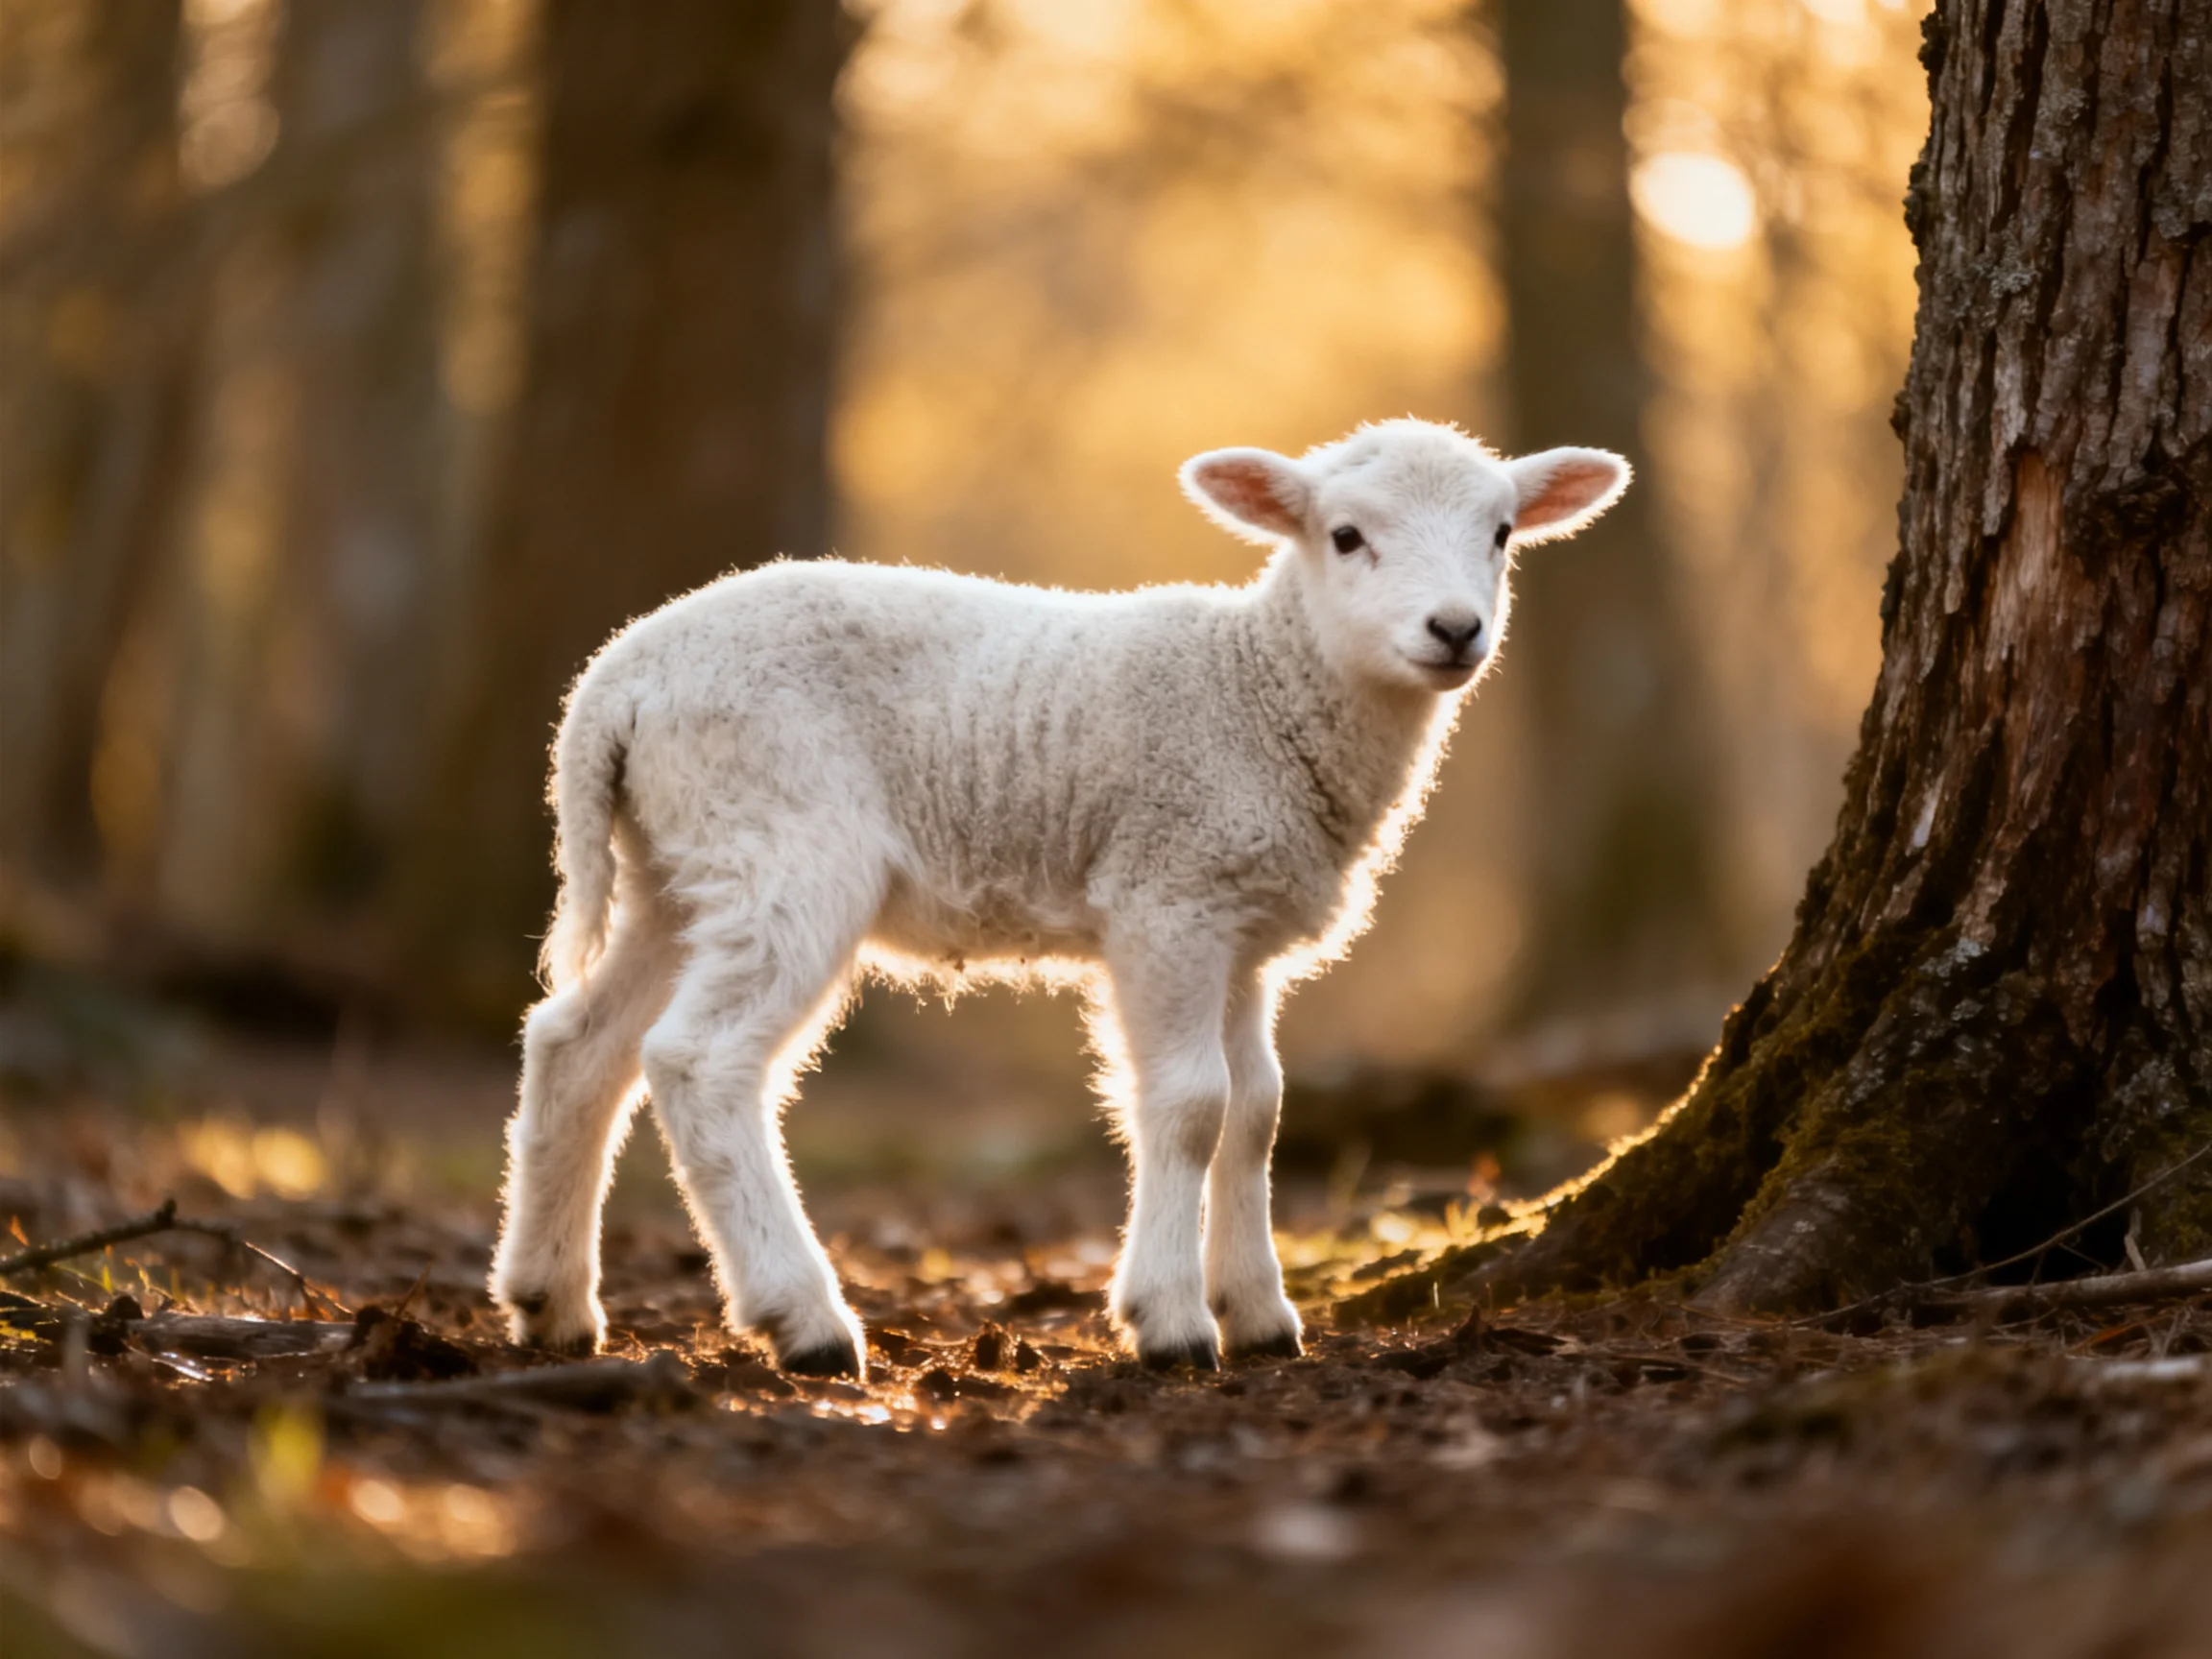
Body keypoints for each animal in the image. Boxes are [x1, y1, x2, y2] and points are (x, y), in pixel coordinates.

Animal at [489, 417, 1629, 1376]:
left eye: (1501, 533)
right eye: (1346, 537)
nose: (1456, 629)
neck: (1259, 691)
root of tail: (614, 684)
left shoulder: (1242, 927)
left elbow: (1259, 1108)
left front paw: (1261, 1314)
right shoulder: (1168, 896)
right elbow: (1190, 1105)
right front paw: (1172, 1323)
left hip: (676, 865)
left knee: (577, 1042)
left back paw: (551, 1300)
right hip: (781, 847)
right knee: (699, 1061)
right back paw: (804, 1320)